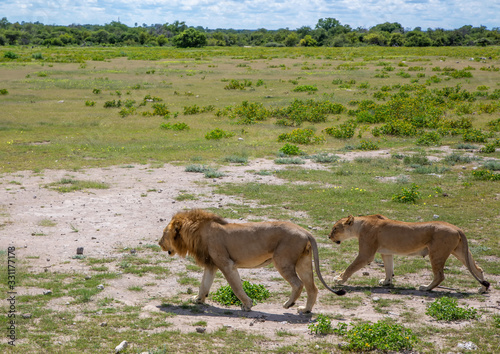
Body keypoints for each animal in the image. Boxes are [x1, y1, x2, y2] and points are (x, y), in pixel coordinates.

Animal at [158, 210, 346, 312]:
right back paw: (305, 310)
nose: (159, 243)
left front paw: (247, 305)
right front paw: (198, 300)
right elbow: (204, 284)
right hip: (303, 262)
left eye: (164, 233)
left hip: (283, 260)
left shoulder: (226, 264)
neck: (196, 233)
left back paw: (289, 304)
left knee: (298, 284)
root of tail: (305, 231)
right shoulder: (211, 265)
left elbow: (236, 287)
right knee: (312, 288)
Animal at [328, 216, 488, 294]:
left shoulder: (366, 254)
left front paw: (339, 279)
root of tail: (457, 228)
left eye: (335, 228)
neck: (360, 225)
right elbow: (389, 269)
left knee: (440, 275)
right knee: (477, 268)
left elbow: (351, 267)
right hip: (460, 252)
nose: (329, 236)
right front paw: (386, 282)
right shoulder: (386, 253)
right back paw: (483, 288)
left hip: (436, 253)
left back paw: (425, 288)